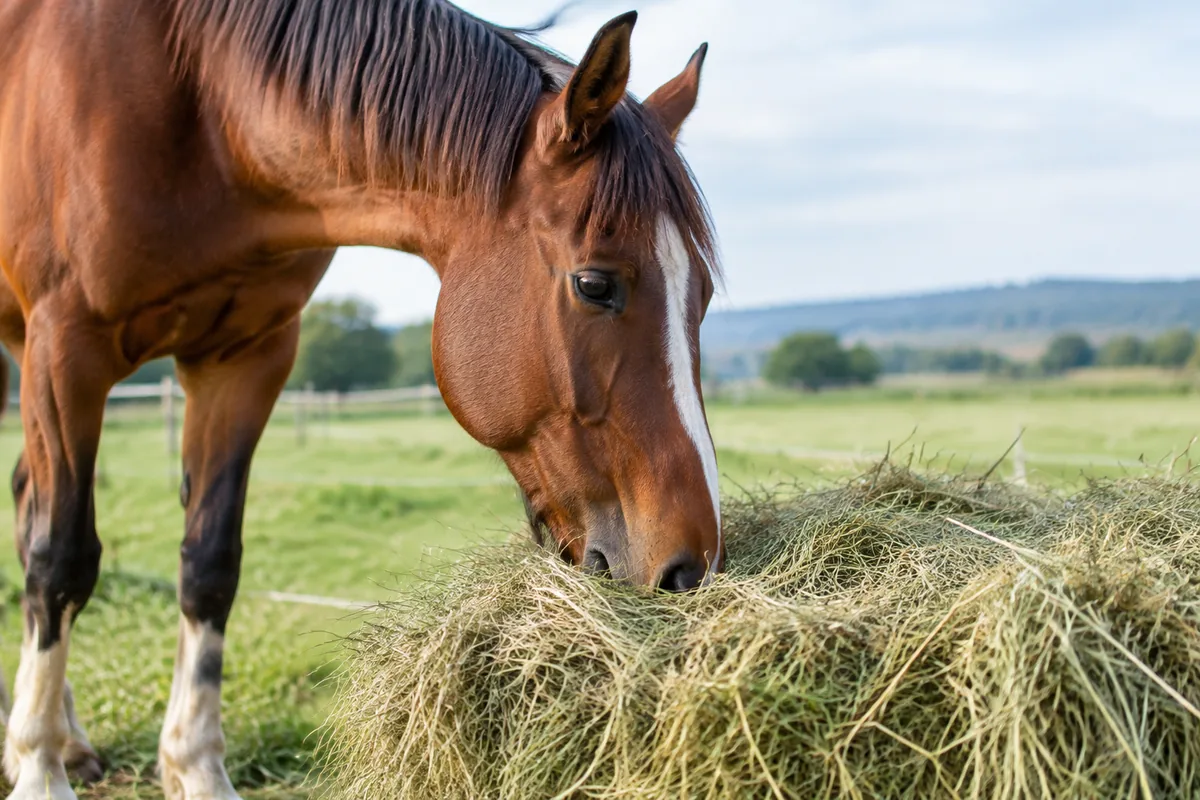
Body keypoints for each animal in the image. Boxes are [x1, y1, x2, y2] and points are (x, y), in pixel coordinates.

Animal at [0, 0, 721, 797]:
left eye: (703, 293)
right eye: (595, 284)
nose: (690, 569)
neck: (203, 110)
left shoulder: (246, 360)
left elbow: (209, 563)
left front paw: (193, 768)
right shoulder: (66, 347)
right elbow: (60, 560)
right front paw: (37, 769)